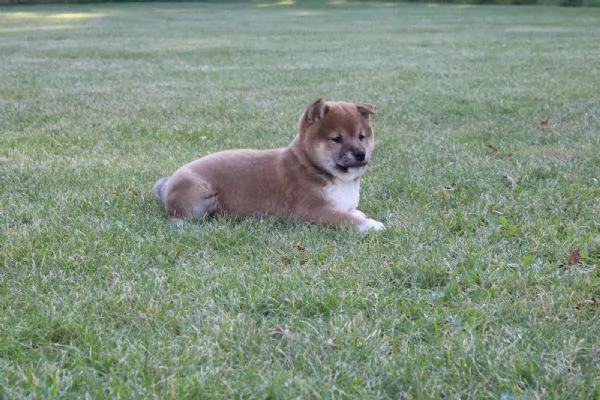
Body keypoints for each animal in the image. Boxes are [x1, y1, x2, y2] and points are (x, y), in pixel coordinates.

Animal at [154, 97, 384, 233]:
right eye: (337, 139)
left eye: (361, 136)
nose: (360, 154)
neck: (310, 166)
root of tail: (168, 183)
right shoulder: (311, 210)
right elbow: (345, 218)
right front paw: (371, 224)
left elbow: (352, 212)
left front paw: (361, 215)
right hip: (199, 193)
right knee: (175, 216)